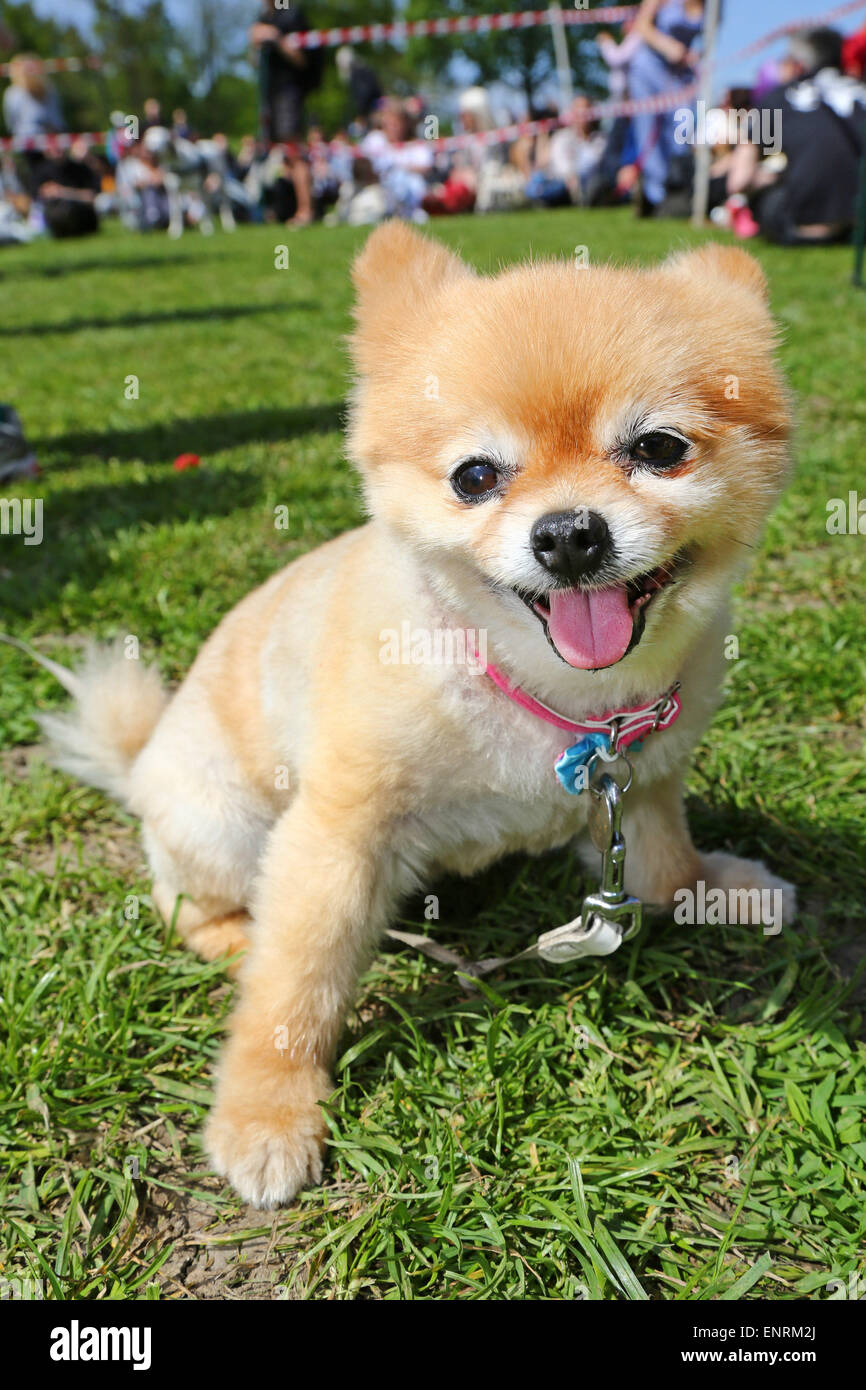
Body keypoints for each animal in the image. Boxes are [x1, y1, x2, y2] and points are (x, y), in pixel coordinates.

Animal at [40, 225, 800, 1206]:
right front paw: (264, 1115)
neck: (555, 700)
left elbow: (663, 859)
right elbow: (295, 986)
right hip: (219, 822)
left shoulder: (640, 776)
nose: (568, 533)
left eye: (660, 448)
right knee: (188, 905)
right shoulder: (337, 834)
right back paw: (237, 938)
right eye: (474, 477)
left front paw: (712, 886)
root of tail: (138, 761)